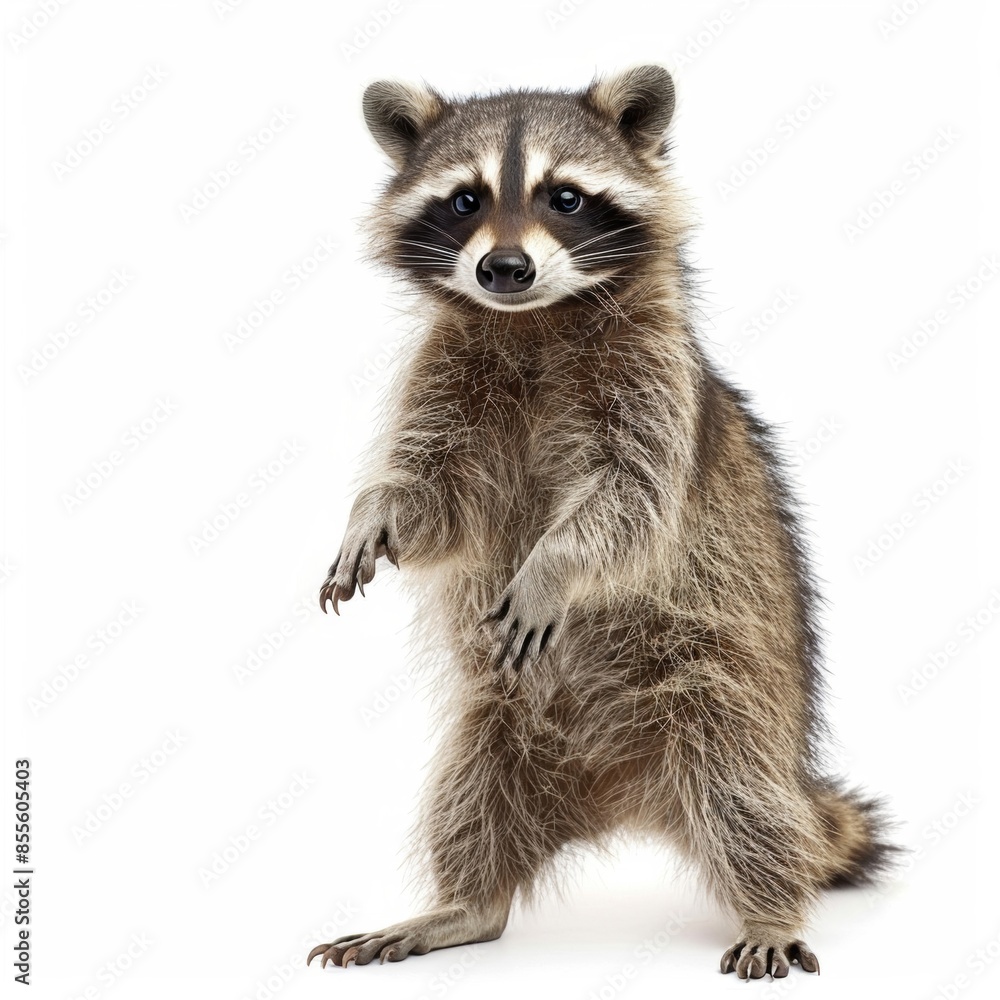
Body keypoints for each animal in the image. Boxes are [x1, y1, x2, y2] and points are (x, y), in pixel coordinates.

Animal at [307, 66, 896, 979]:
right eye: (466, 199)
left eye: (567, 197)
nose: (504, 268)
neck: (533, 320)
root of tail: (621, 796)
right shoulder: (446, 374)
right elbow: (435, 497)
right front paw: (374, 510)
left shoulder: (657, 382)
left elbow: (630, 501)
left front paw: (555, 564)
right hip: (498, 719)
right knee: (467, 800)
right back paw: (461, 904)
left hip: (723, 686)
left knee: (745, 796)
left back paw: (768, 904)